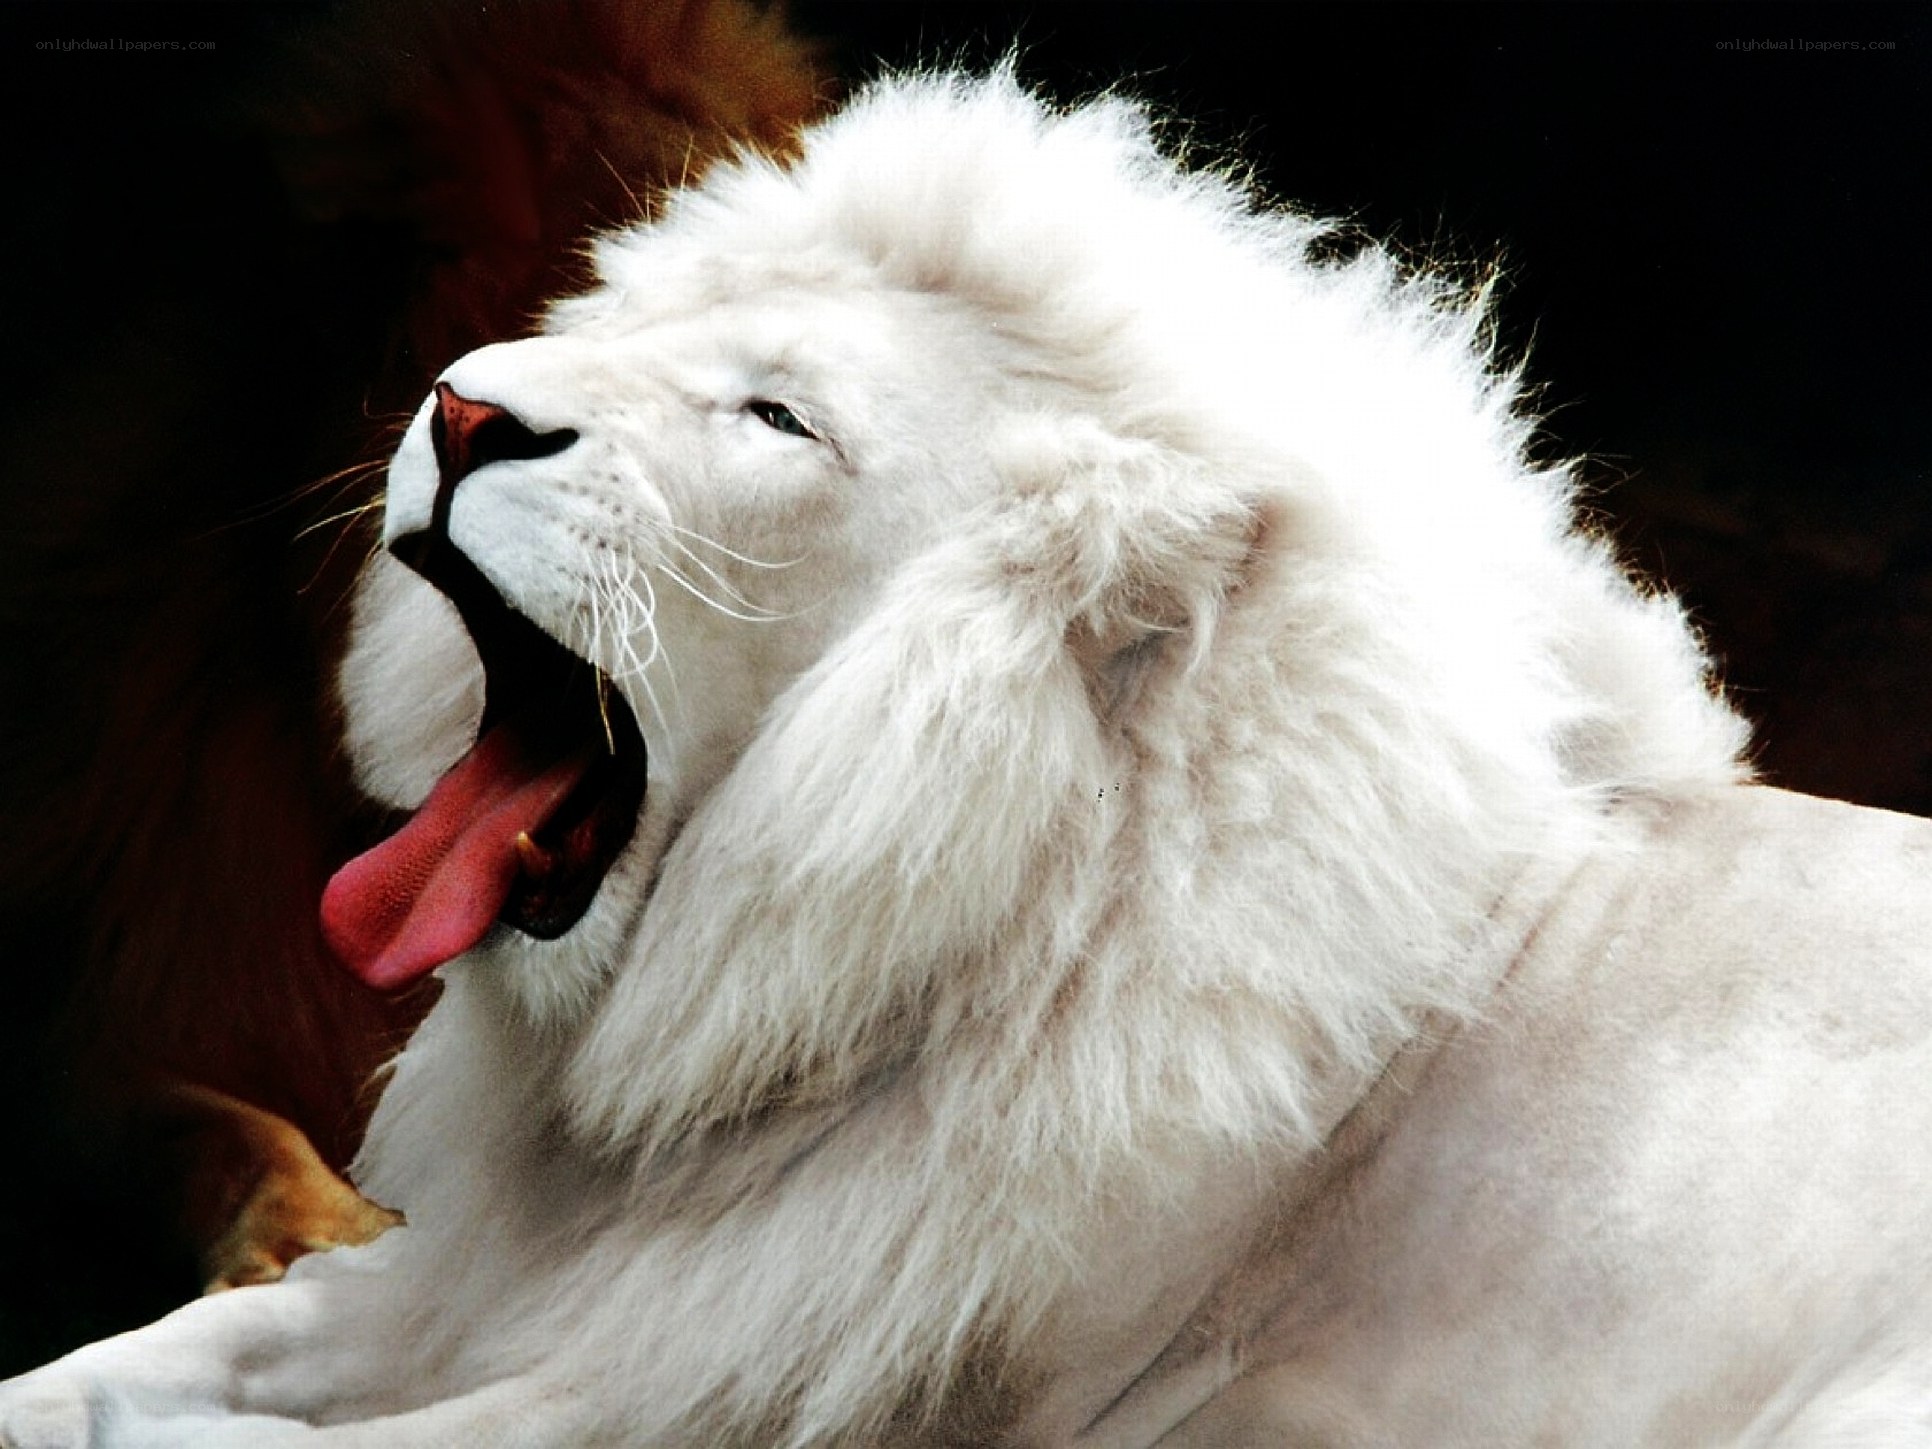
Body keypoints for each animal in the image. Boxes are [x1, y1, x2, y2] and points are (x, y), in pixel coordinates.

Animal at [6, 69, 1932, 1447]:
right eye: (648, 327)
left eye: (777, 416)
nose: (462, 407)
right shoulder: (504, 1284)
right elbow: (147, 1359)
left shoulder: (737, 1384)